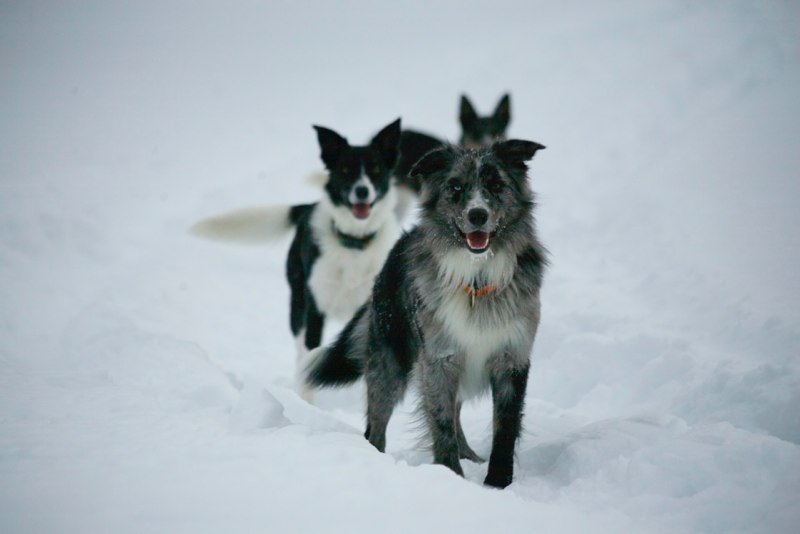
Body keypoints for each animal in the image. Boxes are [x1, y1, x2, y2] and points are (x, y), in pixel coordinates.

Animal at [192, 119, 403, 398]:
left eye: (376, 169)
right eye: (345, 170)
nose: (361, 191)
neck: (354, 245)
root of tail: (308, 206)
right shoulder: (315, 310)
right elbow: (310, 362)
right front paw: (307, 403)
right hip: (297, 303)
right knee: (300, 350)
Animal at [304, 138, 546, 488]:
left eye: (496, 185)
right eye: (455, 186)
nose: (477, 215)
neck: (477, 278)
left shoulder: (511, 356)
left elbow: (505, 427)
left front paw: (497, 483)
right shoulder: (439, 358)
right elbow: (441, 423)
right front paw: (450, 476)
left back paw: (469, 454)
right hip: (389, 361)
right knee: (376, 424)